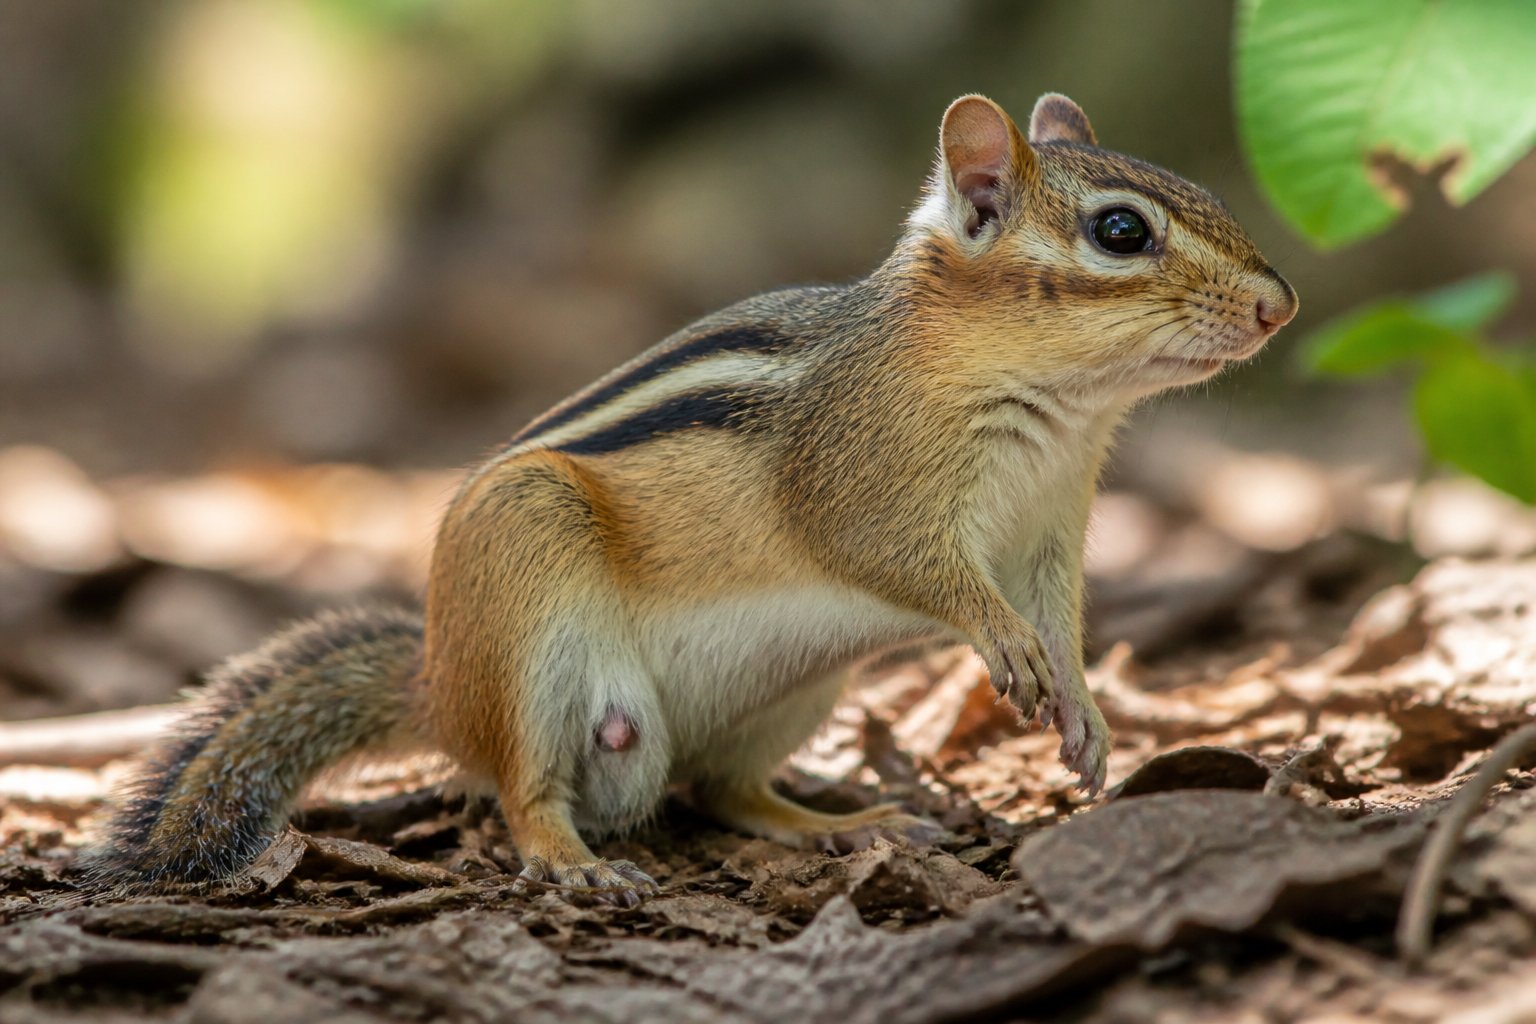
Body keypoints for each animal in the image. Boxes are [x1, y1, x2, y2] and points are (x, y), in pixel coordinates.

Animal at [84, 93, 1297, 905]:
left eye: (1210, 197)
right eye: (1122, 231)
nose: (1279, 305)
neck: (1056, 410)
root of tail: (437, 678)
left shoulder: (1050, 530)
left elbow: (1062, 617)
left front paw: (1086, 716)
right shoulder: (870, 486)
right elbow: (921, 570)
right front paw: (998, 641)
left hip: (794, 686)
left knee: (719, 790)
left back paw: (836, 819)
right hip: (527, 596)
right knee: (524, 789)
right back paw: (576, 861)